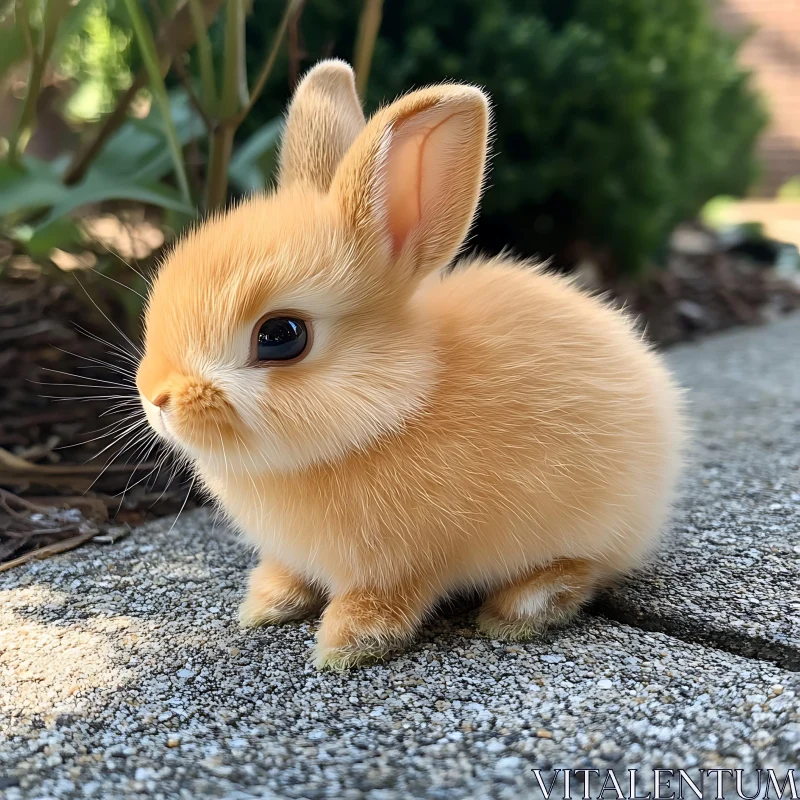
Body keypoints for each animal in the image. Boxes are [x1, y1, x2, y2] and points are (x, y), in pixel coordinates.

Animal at [134, 57, 684, 668]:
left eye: (281, 336)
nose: (155, 397)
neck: (396, 406)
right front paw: (266, 603)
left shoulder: (402, 565)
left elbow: (386, 599)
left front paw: (346, 643)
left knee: (585, 568)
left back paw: (521, 608)